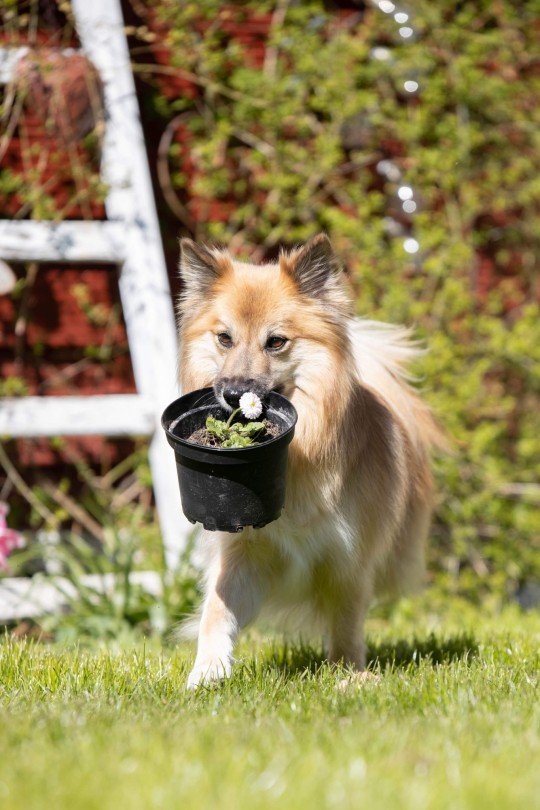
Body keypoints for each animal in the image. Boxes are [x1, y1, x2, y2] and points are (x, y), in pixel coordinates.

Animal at [177, 234, 438, 688]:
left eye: (276, 341)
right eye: (224, 338)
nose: (233, 394)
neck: (295, 458)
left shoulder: (350, 561)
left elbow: (346, 626)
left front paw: (347, 675)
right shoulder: (243, 550)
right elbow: (217, 610)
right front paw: (207, 671)